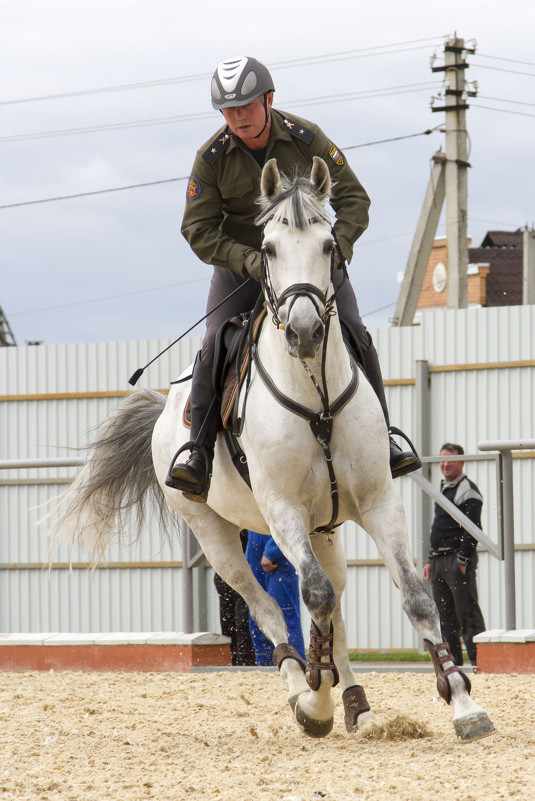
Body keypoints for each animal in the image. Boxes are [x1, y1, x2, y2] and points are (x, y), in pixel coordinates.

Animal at [52, 156, 496, 744]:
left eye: (329, 245)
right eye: (268, 248)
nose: (304, 332)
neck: (316, 397)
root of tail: (166, 408)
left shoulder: (379, 503)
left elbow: (412, 596)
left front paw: (463, 703)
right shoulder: (282, 510)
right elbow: (312, 599)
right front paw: (316, 696)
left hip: (325, 528)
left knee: (333, 605)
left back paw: (355, 703)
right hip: (216, 532)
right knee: (268, 607)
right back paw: (304, 693)